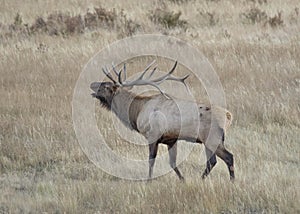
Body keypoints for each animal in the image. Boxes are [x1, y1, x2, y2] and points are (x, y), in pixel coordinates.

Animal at [90, 60, 236, 181]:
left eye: (105, 86)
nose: (92, 84)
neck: (136, 112)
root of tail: (228, 116)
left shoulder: (152, 135)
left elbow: (151, 160)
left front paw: (148, 180)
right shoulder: (171, 140)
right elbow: (172, 163)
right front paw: (182, 179)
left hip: (212, 137)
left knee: (228, 157)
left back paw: (231, 181)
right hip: (210, 140)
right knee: (212, 162)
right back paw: (202, 179)